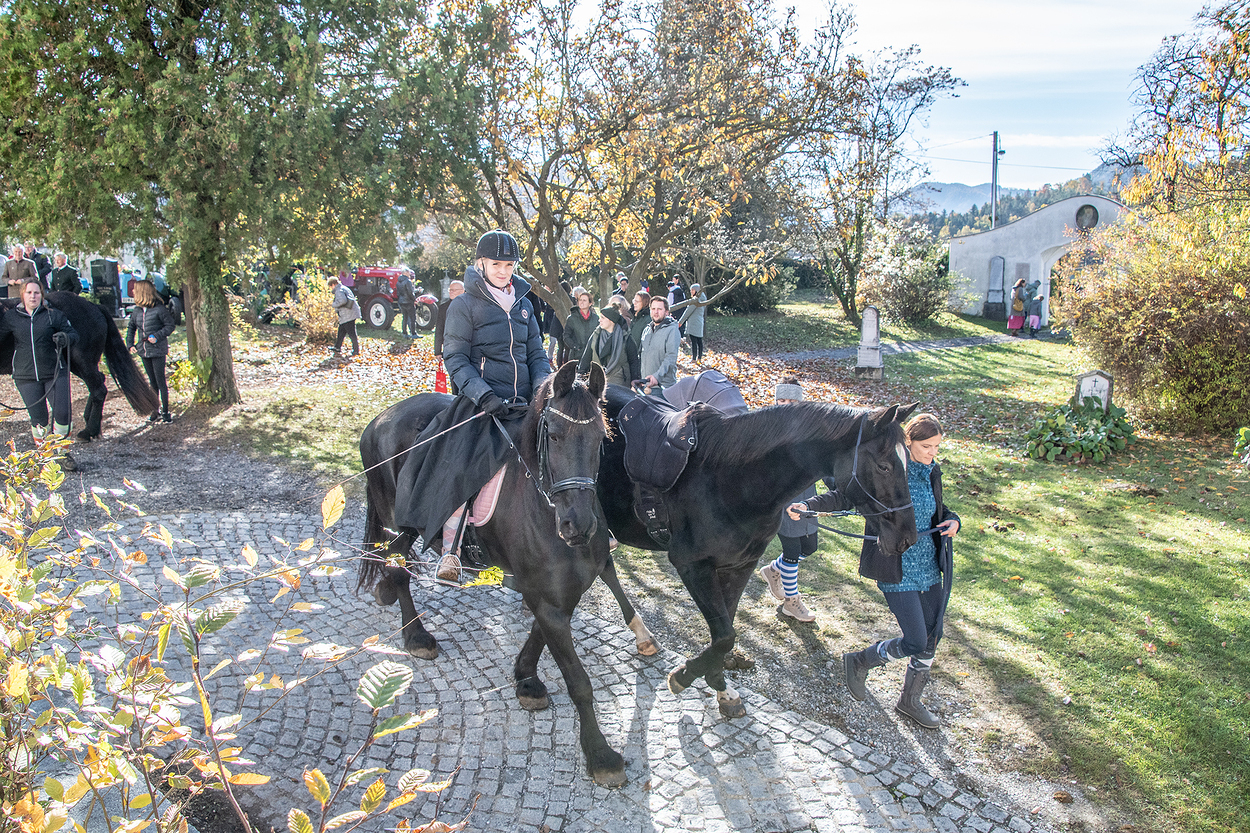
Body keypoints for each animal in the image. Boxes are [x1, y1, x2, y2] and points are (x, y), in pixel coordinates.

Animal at [0, 292, 160, 437]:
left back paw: (89, 431)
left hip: (82, 361)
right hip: (77, 364)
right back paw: (89, 420)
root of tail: (94, 306)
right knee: (99, 381)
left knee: (99, 390)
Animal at [357, 362, 651, 788]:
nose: (578, 526)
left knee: (391, 559)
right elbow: (578, 681)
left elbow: (539, 635)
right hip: (400, 520)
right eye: (555, 435)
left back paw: (386, 595)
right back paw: (416, 635)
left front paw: (526, 679)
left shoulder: (557, 593)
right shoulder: (546, 598)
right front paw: (600, 755)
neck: (545, 508)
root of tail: (381, 418)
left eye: (600, 438)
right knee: (398, 565)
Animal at [598, 386, 920, 718]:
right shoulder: (692, 565)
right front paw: (686, 676)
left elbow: (724, 631)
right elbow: (725, 636)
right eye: (883, 466)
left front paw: (720, 686)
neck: (730, 479)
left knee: (606, 567)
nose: (907, 537)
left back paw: (643, 635)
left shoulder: (739, 565)